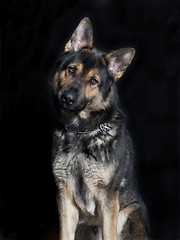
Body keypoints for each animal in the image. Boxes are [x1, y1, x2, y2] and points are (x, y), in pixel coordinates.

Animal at [50, 17, 148, 240]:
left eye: (94, 81)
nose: (67, 98)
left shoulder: (108, 200)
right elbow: (65, 234)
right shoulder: (65, 198)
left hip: (129, 216)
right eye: (71, 70)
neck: (81, 131)